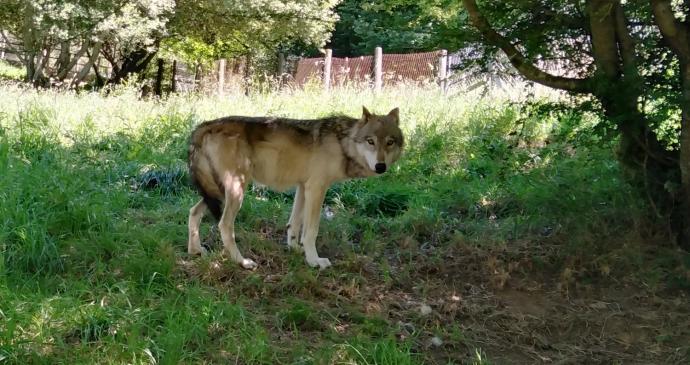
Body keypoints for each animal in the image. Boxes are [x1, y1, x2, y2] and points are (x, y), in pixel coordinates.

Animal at [188, 106, 404, 268]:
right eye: (370, 141)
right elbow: (311, 230)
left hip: (217, 193)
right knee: (224, 225)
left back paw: (195, 250)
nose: (381, 166)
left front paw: (295, 249)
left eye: (390, 142)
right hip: (236, 190)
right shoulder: (317, 188)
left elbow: (294, 224)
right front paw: (314, 261)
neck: (342, 143)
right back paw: (241, 261)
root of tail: (204, 126)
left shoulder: (303, 187)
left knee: (193, 212)